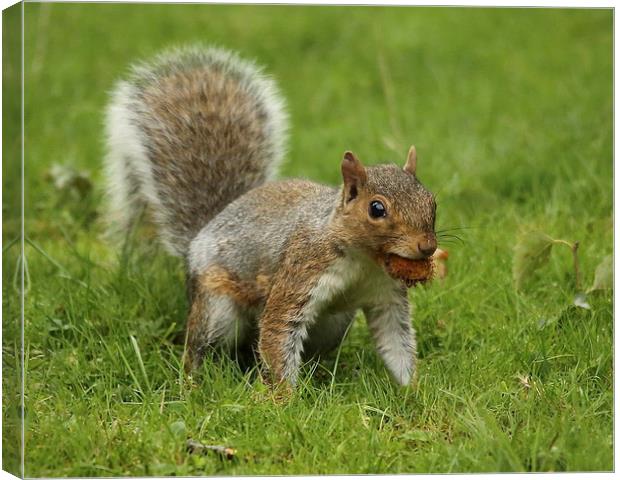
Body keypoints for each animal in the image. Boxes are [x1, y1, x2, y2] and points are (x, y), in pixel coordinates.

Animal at [104, 47, 438, 388]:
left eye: (431, 201)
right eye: (376, 209)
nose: (427, 247)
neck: (364, 261)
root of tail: (200, 235)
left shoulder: (386, 296)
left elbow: (396, 341)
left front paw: (414, 389)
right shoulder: (301, 272)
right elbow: (279, 328)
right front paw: (283, 397)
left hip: (333, 324)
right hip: (216, 307)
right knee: (201, 346)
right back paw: (193, 381)